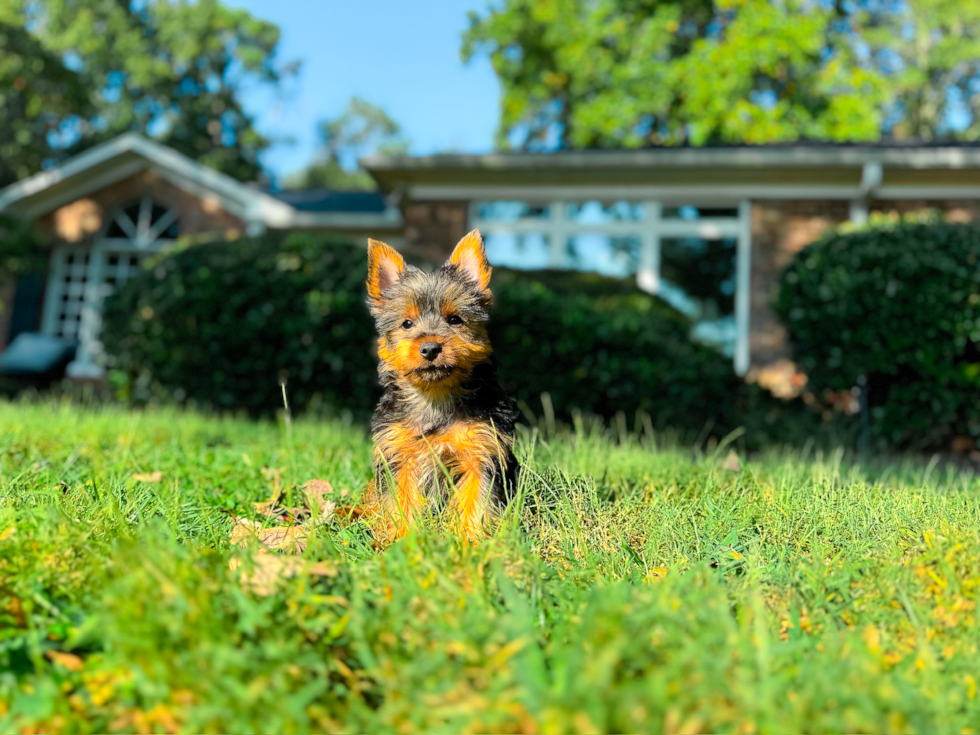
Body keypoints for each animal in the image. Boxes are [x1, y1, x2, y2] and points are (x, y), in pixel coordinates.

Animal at [362, 233, 516, 544]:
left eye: (455, 319)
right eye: (407, 323)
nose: (431, 347)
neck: (435, 395)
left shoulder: (482, 450)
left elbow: (475, 499)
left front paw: (469, 542)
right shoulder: (399, 454)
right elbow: (400, 500)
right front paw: (402, 542)